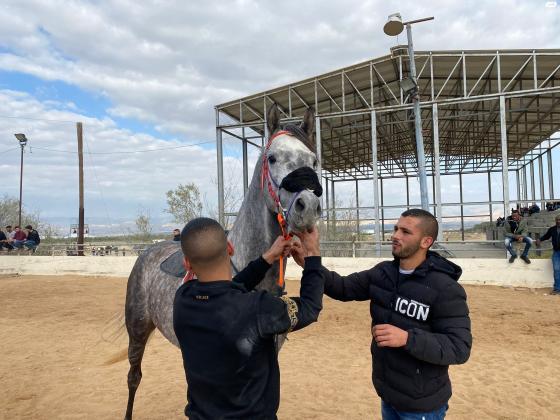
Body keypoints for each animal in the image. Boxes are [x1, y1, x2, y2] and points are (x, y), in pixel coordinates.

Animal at [124, 103, 322, 418]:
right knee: (134, 377)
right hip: (137, 330)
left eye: (313, 161)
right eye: (272, 158)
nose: (309, 207)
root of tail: (147, 253)